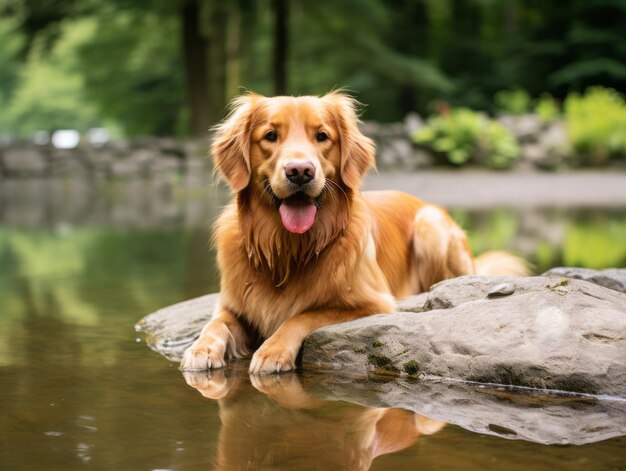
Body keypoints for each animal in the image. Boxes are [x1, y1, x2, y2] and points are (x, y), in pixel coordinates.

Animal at [180, 93, 528, 376]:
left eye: (322, 136)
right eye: (270, 136)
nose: (300, 171)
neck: (289, 249)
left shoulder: (371, 303)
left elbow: (303, 315)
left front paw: (273, 351)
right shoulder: (231, 304)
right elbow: (215, 323)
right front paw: (200, 348)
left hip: (430, 225)